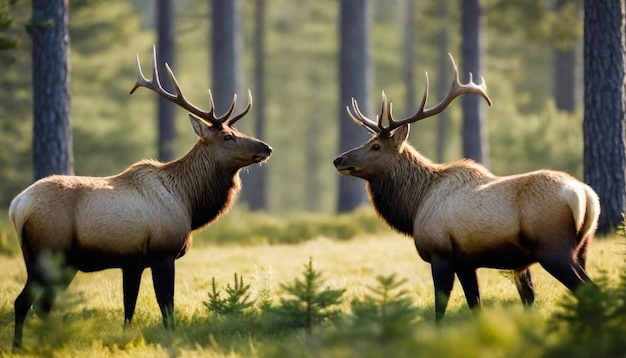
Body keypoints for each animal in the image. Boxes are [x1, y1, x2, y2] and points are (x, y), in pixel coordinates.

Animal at [7, 46, 270, 348]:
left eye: (237, 131)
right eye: (228, 136)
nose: (266, 147)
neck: (189, 203)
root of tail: (16, 207)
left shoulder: (131, 262)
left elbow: (128, 308)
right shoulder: (163, 252)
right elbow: (166, 304)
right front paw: (170, 339)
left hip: (58, 262)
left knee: (43, 305)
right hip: (49, 251)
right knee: (23, 301)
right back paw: (19, 346)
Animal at [332, 53, 600, 322]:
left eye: (376, 146)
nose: (338, 159)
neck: (415, 206)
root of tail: (586, 196)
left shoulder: (441, 254)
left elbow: (440, 307)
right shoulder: (466, 262)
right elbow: (475, 304)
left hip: (554, 249)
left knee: (588, 287)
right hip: (583, 247)